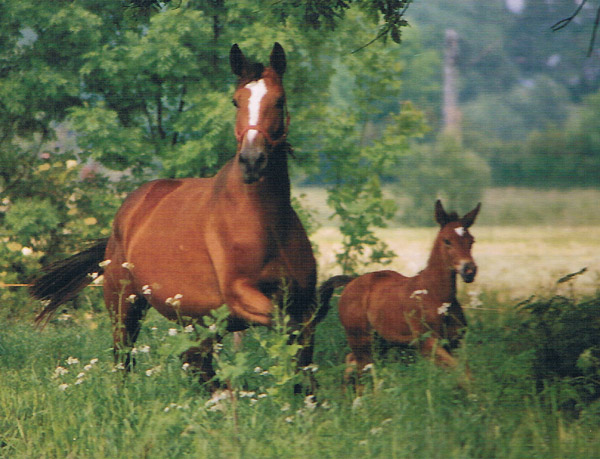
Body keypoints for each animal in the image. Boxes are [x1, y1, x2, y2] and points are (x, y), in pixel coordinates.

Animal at [30, 42, 322, 388]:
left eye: (280, 100)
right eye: (236, 100)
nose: (252, 161)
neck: (267, 223)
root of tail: (130, 209)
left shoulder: (304, 303)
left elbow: (303, 356)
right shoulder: (242, 296)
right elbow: (285, 329)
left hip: (193, 319)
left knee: (196, 363)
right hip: (124, 305)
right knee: (124, 359)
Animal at [322, 200, 480, 384]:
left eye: (471, 241)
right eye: (447, 240)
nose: (469, 270)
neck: (435, 295)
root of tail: (351, 282)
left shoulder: (455, 342)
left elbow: (467, 376)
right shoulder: (427, 343)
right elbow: (462, 377)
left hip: (380, 342)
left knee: (352, 363)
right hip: (361, 339)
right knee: (360, 369)